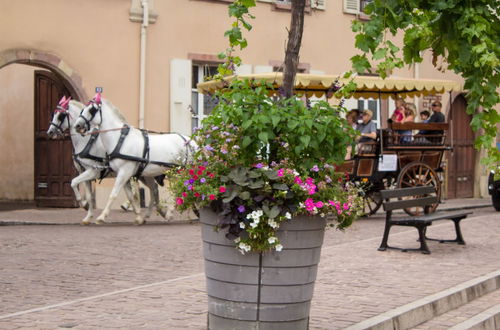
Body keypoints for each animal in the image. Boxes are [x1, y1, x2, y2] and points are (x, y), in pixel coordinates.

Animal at [46, 95, 166, 224]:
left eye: (60, 115)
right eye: (54, 113)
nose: (50, 132)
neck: (86, 142)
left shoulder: (93, 171)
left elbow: (73, 182)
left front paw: (83, 204)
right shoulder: (84, 171)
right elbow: (88, 194)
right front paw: (88, 216)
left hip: (146, 173)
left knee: (153, 189)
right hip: (144, 174)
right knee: (154, 189)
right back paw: (156, 212)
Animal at [73, 93, 194, 224]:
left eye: (92, 109)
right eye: (83, 109)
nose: (77, 125)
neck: (120, 140)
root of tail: (190, 140)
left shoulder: (123, 171)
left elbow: (113, 194)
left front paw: (101, 217)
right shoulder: (122, 173)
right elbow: (130, 196)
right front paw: (139, 217)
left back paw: (174, 213)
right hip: (170, 173)